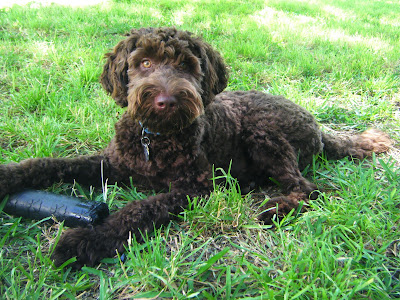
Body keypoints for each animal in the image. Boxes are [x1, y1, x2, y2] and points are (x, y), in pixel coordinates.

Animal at [0, 27, 392, 268]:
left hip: (264, 134)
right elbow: (53, 163)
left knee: (307, 188)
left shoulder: (194, 187)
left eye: (187, 65)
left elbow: (138, 210)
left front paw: (87, 240)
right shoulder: (112, 163)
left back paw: (275, 207)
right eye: (144, 62)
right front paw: (10, 175)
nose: (166, 100)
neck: (155, 138)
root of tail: (320, 129)